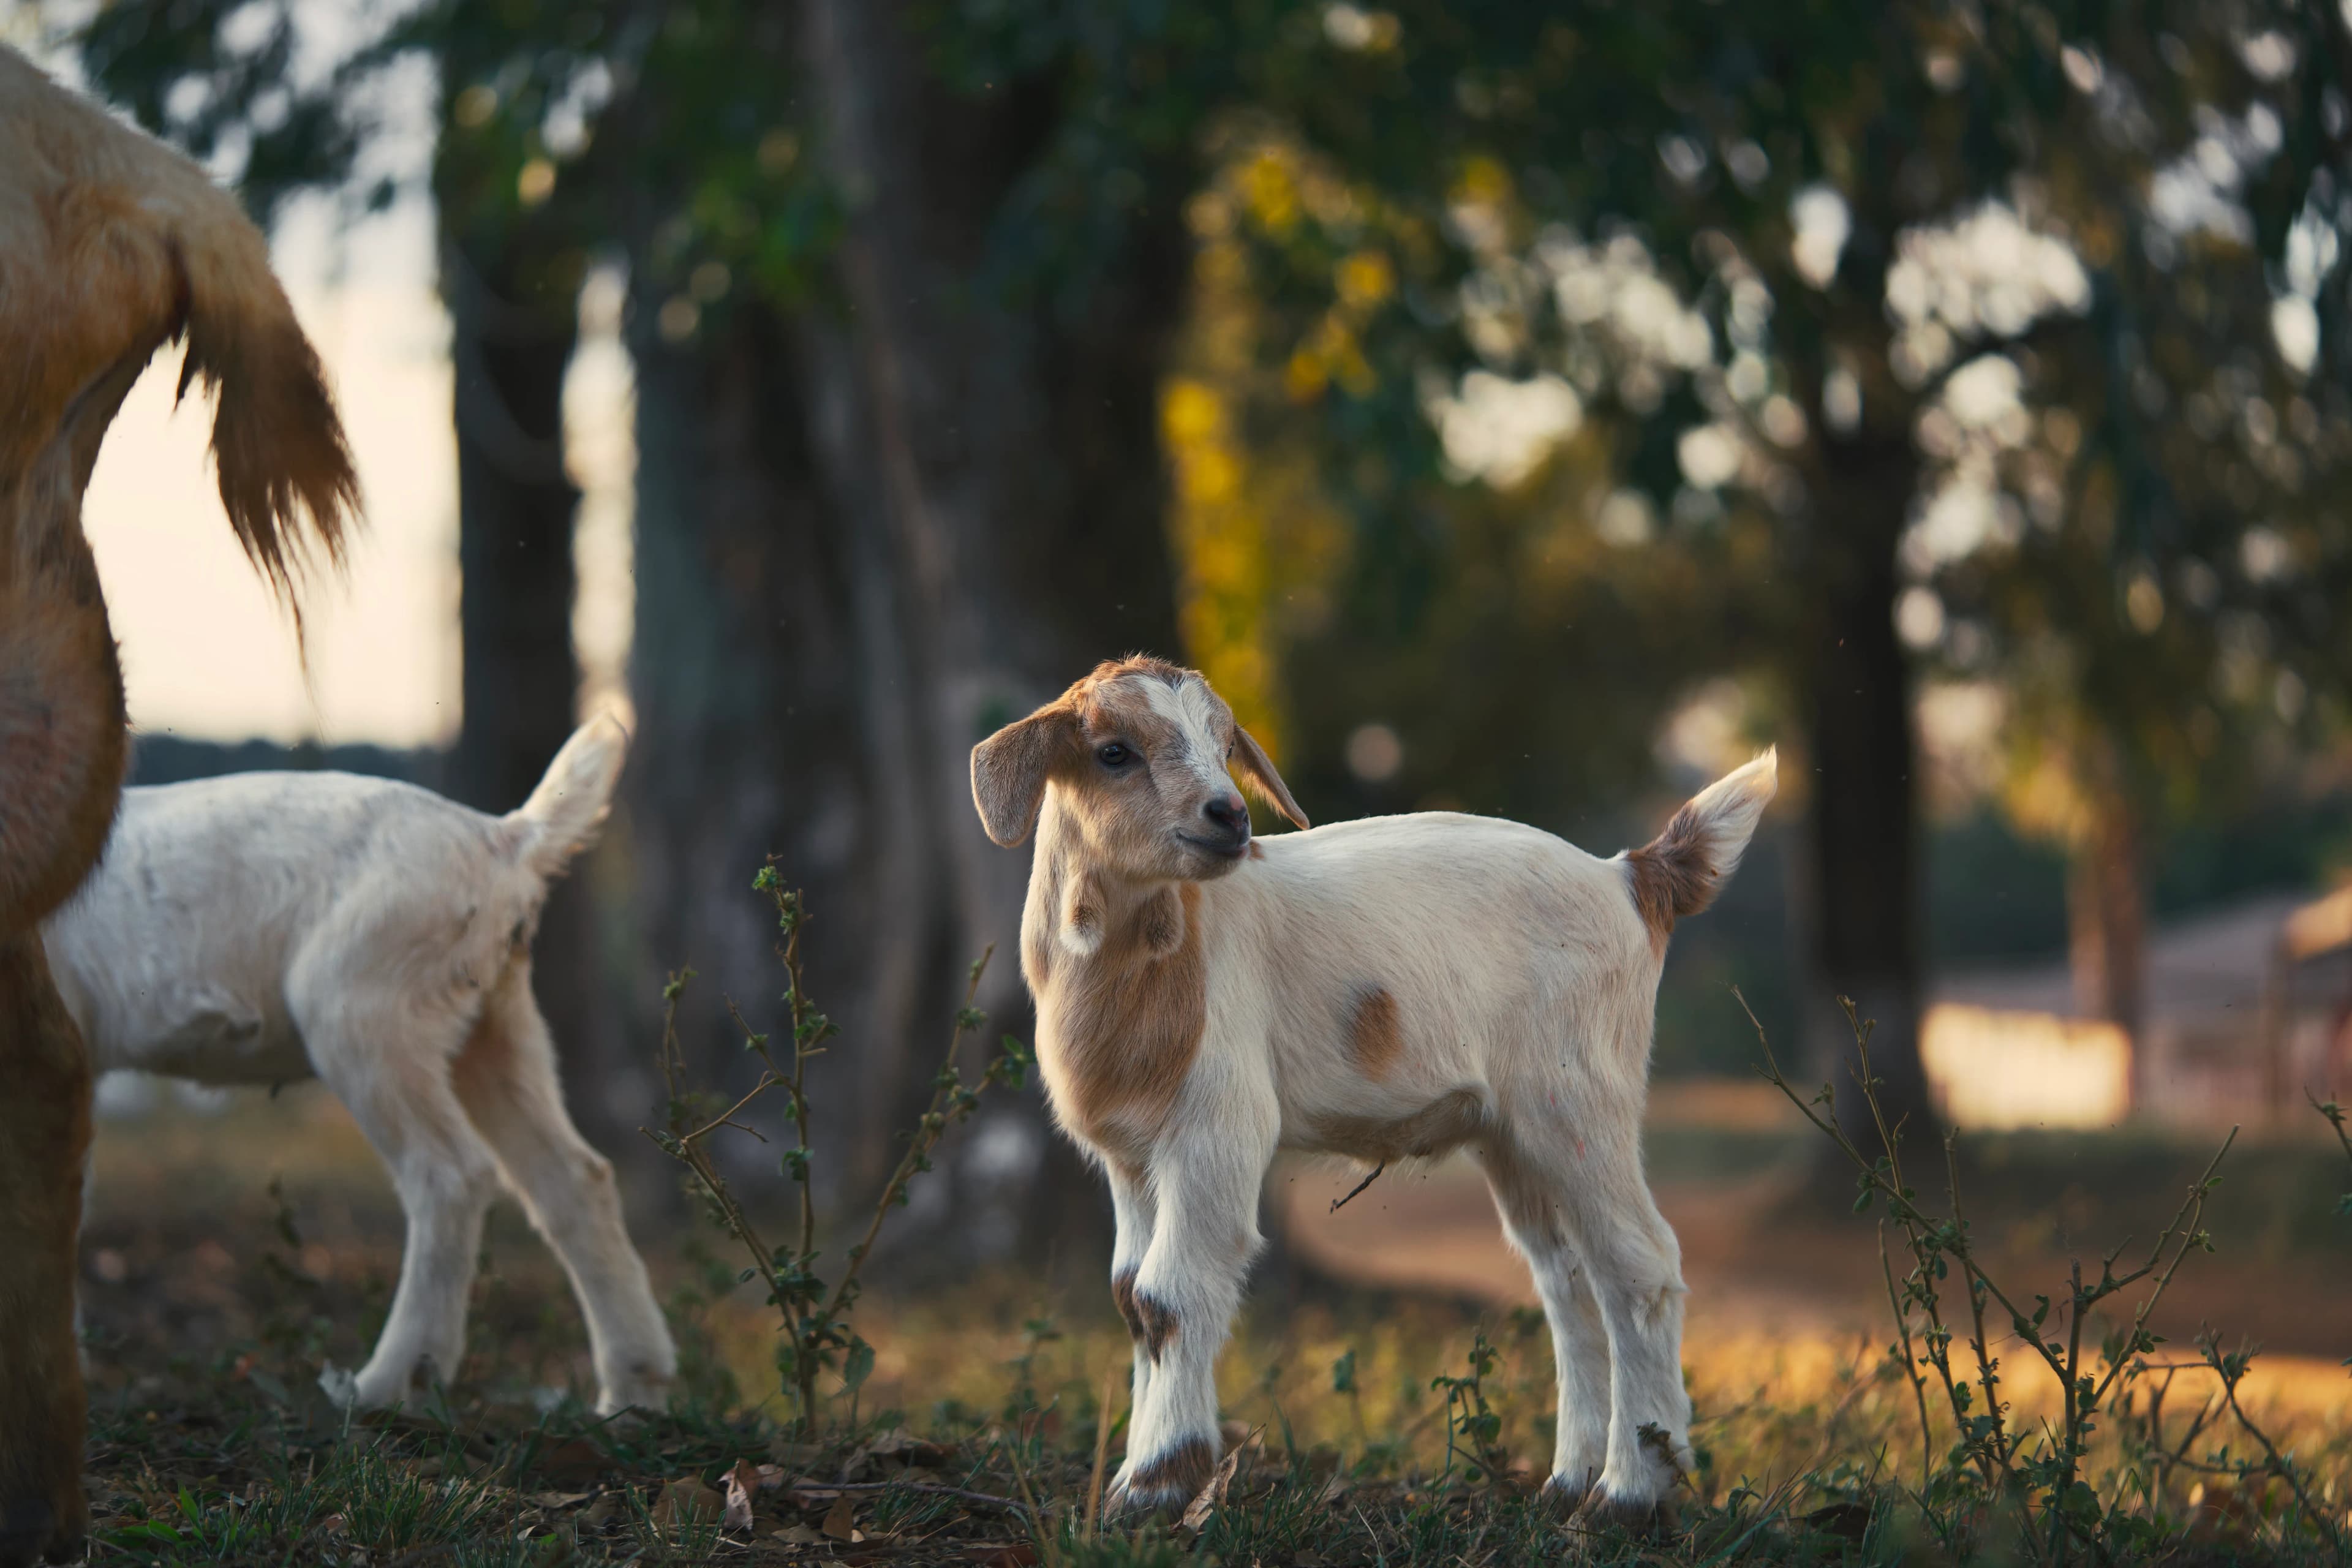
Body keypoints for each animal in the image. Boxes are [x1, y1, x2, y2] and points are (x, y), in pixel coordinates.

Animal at [44, 720, 677, 1416]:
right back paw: (632, 1395)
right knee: (574, 1178)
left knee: (451, 1174)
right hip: (495, 1024)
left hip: (361, 1005)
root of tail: (508, 840)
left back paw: (384, 1386)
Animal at [971, 655, 1775, 1525]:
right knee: (1569, 1283)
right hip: (1513, 1132)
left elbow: (1173, 1293)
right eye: (1113, 752)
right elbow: (1132, 1300)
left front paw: (1156, 1483)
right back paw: (1567, 1481)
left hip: (1581, 1095)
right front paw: (1138, 1481)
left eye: (1225, 744)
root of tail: (1629, 876)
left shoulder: (1218, 1126)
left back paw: (1629, 1491)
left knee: (1640, 1263)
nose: (1230, 816)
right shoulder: (1131, 1153)